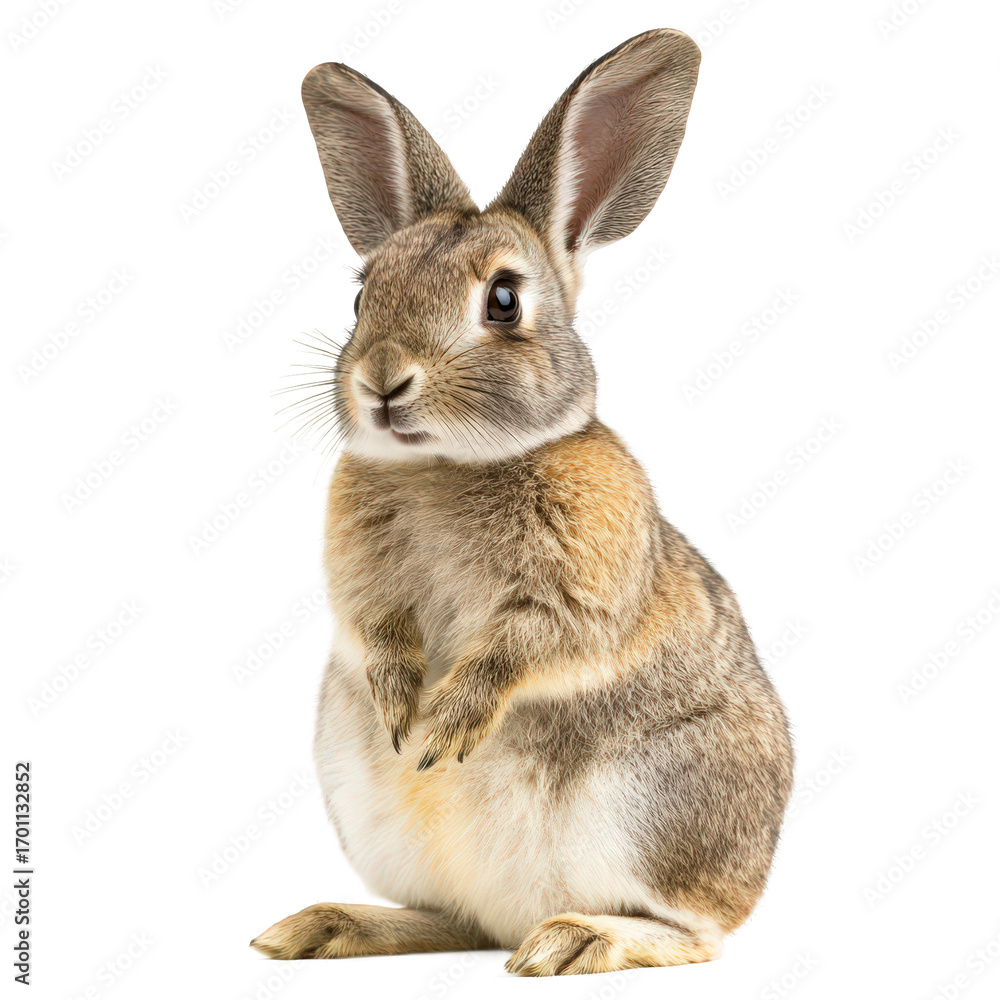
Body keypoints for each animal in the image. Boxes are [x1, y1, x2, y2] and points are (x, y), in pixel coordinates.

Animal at [250, 28, 793, 977]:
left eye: (503, 300)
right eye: (361, 295)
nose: (382, 380)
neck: (448, 466)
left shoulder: (574, 592)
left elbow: (525, 648)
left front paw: (445, 728)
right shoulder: (360, 590)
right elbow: (376, 631)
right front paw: (405, 714)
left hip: (653, 808)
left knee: (696, 933)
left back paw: (574, 940)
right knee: (452, 919)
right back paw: (324, 926)